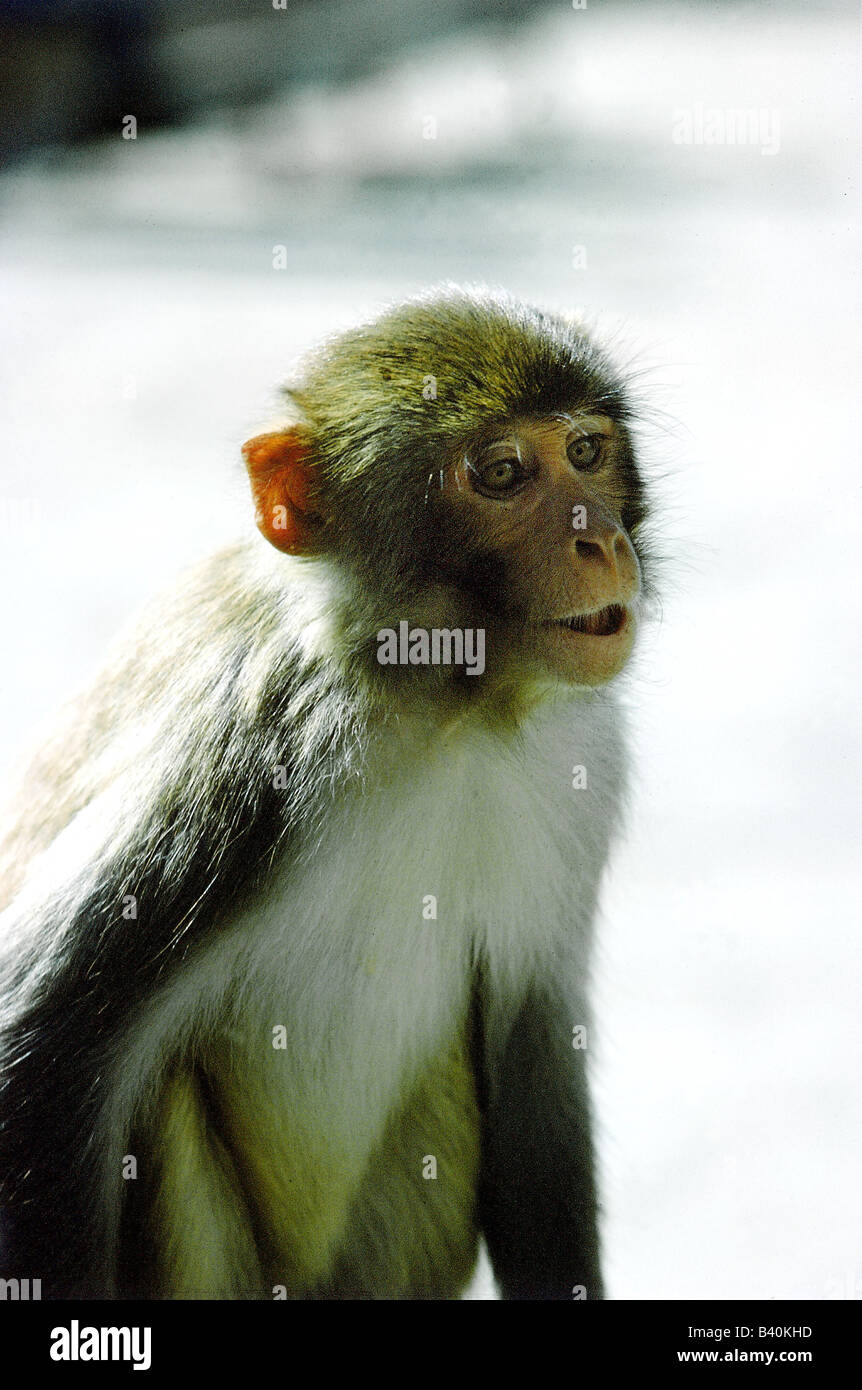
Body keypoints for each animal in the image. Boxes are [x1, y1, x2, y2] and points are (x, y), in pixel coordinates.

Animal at [0, 287, 650, 1295]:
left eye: (586, 451)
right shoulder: (247, 754)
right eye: (502, 473)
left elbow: (533, 1048)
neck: (445, 710)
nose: (599, 538)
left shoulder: (584, 758)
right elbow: (47, 1052)